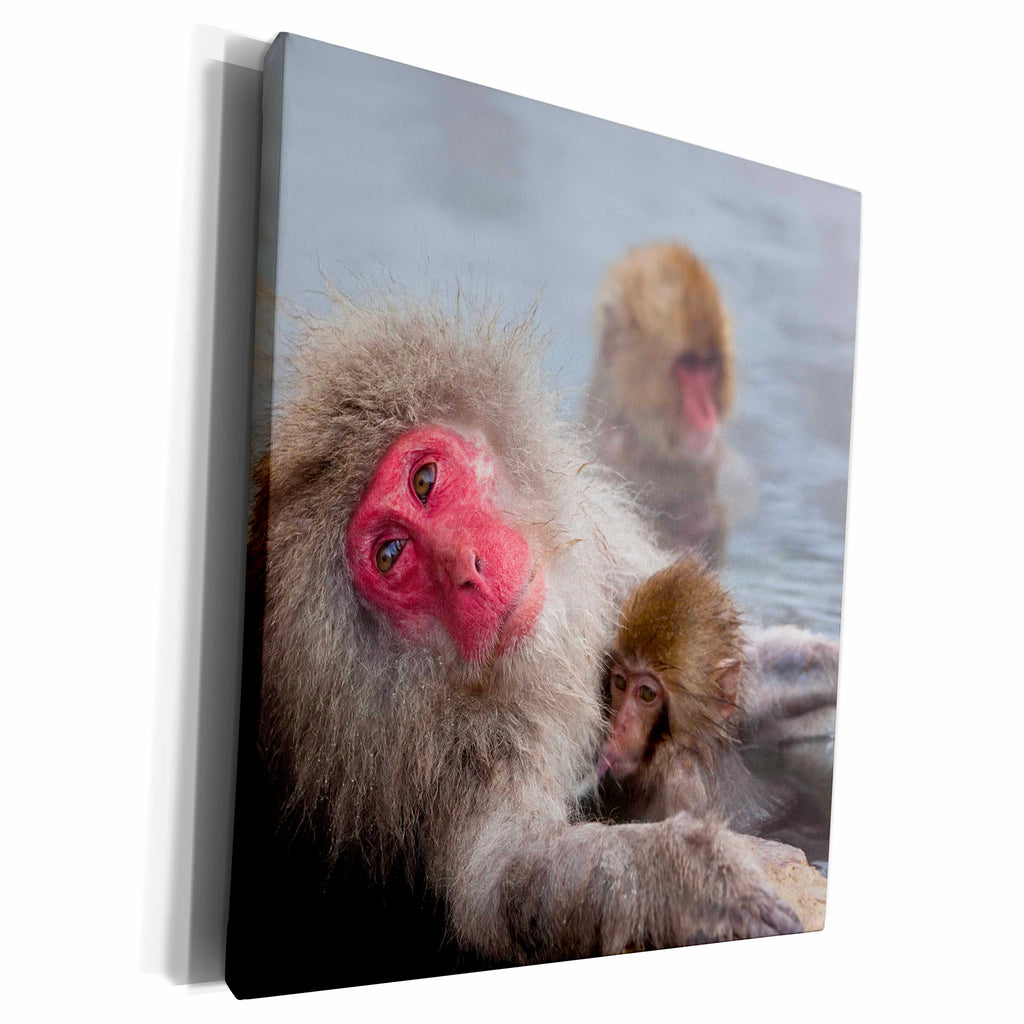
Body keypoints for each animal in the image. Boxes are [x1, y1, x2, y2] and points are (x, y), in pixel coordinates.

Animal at [226, 294, 806, 997]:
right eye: (391, 555)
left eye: (425, 480)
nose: (467, 567)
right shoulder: (448, 764)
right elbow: (512, 879)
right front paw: (692, 877)